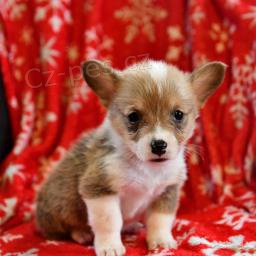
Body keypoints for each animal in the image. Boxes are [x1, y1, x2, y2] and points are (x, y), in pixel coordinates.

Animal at [35, 59, 226, 255]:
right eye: (134, 116)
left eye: (178, 114)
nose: (159, 145)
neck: (148, 168)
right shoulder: (100, 191)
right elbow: (109, 222)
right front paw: (110, 246)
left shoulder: (166, 192)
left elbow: (160, 220)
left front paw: (161, 241)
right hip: (62, 209)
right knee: (67, 229)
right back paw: (82, 234)